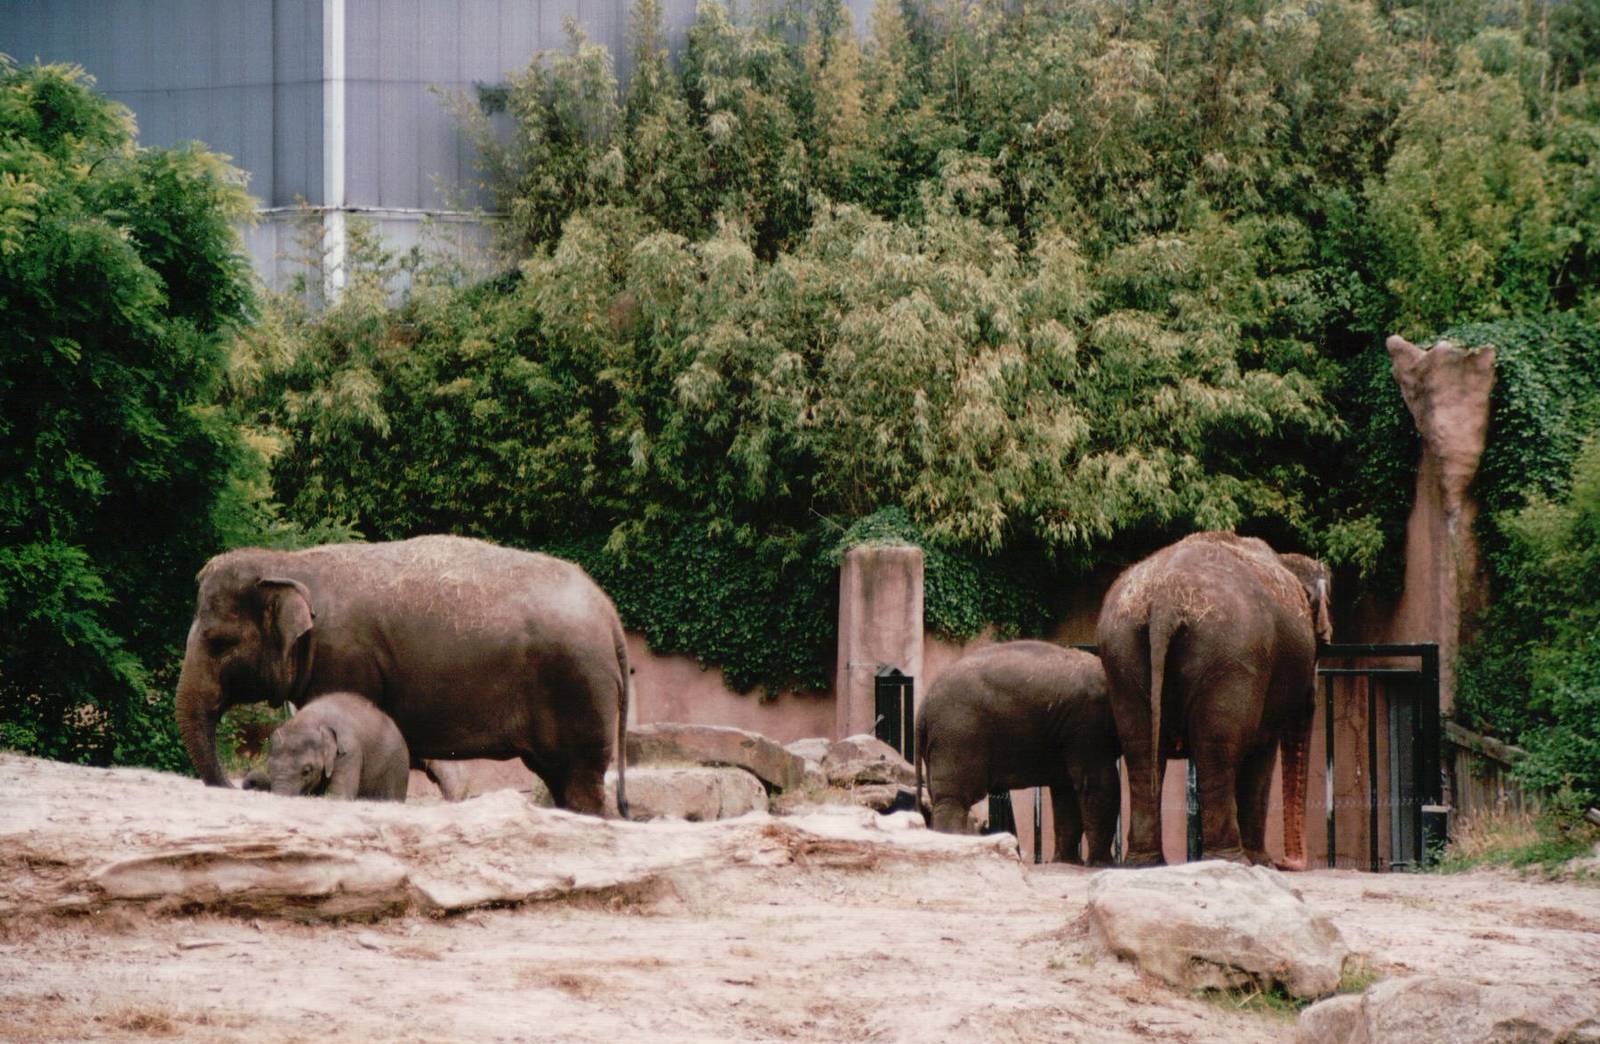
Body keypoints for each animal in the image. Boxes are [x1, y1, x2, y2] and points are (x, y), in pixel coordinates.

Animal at [241, 691, 409, 800]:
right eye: (269, 768)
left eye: (306, 771)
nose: (251, 782)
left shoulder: (349, 751)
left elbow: (338, 796)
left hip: (396, 768)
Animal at [914, 641, 1121, 865]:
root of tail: (923, 709)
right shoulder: (1088, 721)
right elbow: (1098, 782)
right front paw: (1102, 864)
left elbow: (1066, 790)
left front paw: (1067, 862)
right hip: (958, 733)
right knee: (954, 797)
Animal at [1095, 531, 1331, 869]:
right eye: (1320, 645)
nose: (1289, 863)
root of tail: (1165, 600)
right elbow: (1262, 750)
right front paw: (1263, 863)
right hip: (1229, 655)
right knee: (1217, 749)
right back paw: (1232, 860)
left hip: (1121, 653)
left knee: (1140, 749)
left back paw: (1146, 863)